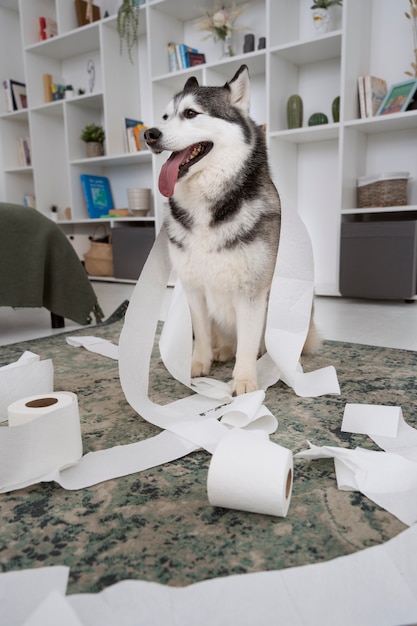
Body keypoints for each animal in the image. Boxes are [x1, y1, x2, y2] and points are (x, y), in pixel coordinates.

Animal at [144, 64, 318, 394]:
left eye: (190, 113)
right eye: (165, 116)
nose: (149, 134)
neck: (206, 208)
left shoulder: (252, 291)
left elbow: (248, 343)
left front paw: (246, 380)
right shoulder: (194, 288)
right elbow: (201, 332)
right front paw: (198, 365)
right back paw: (221, 350)